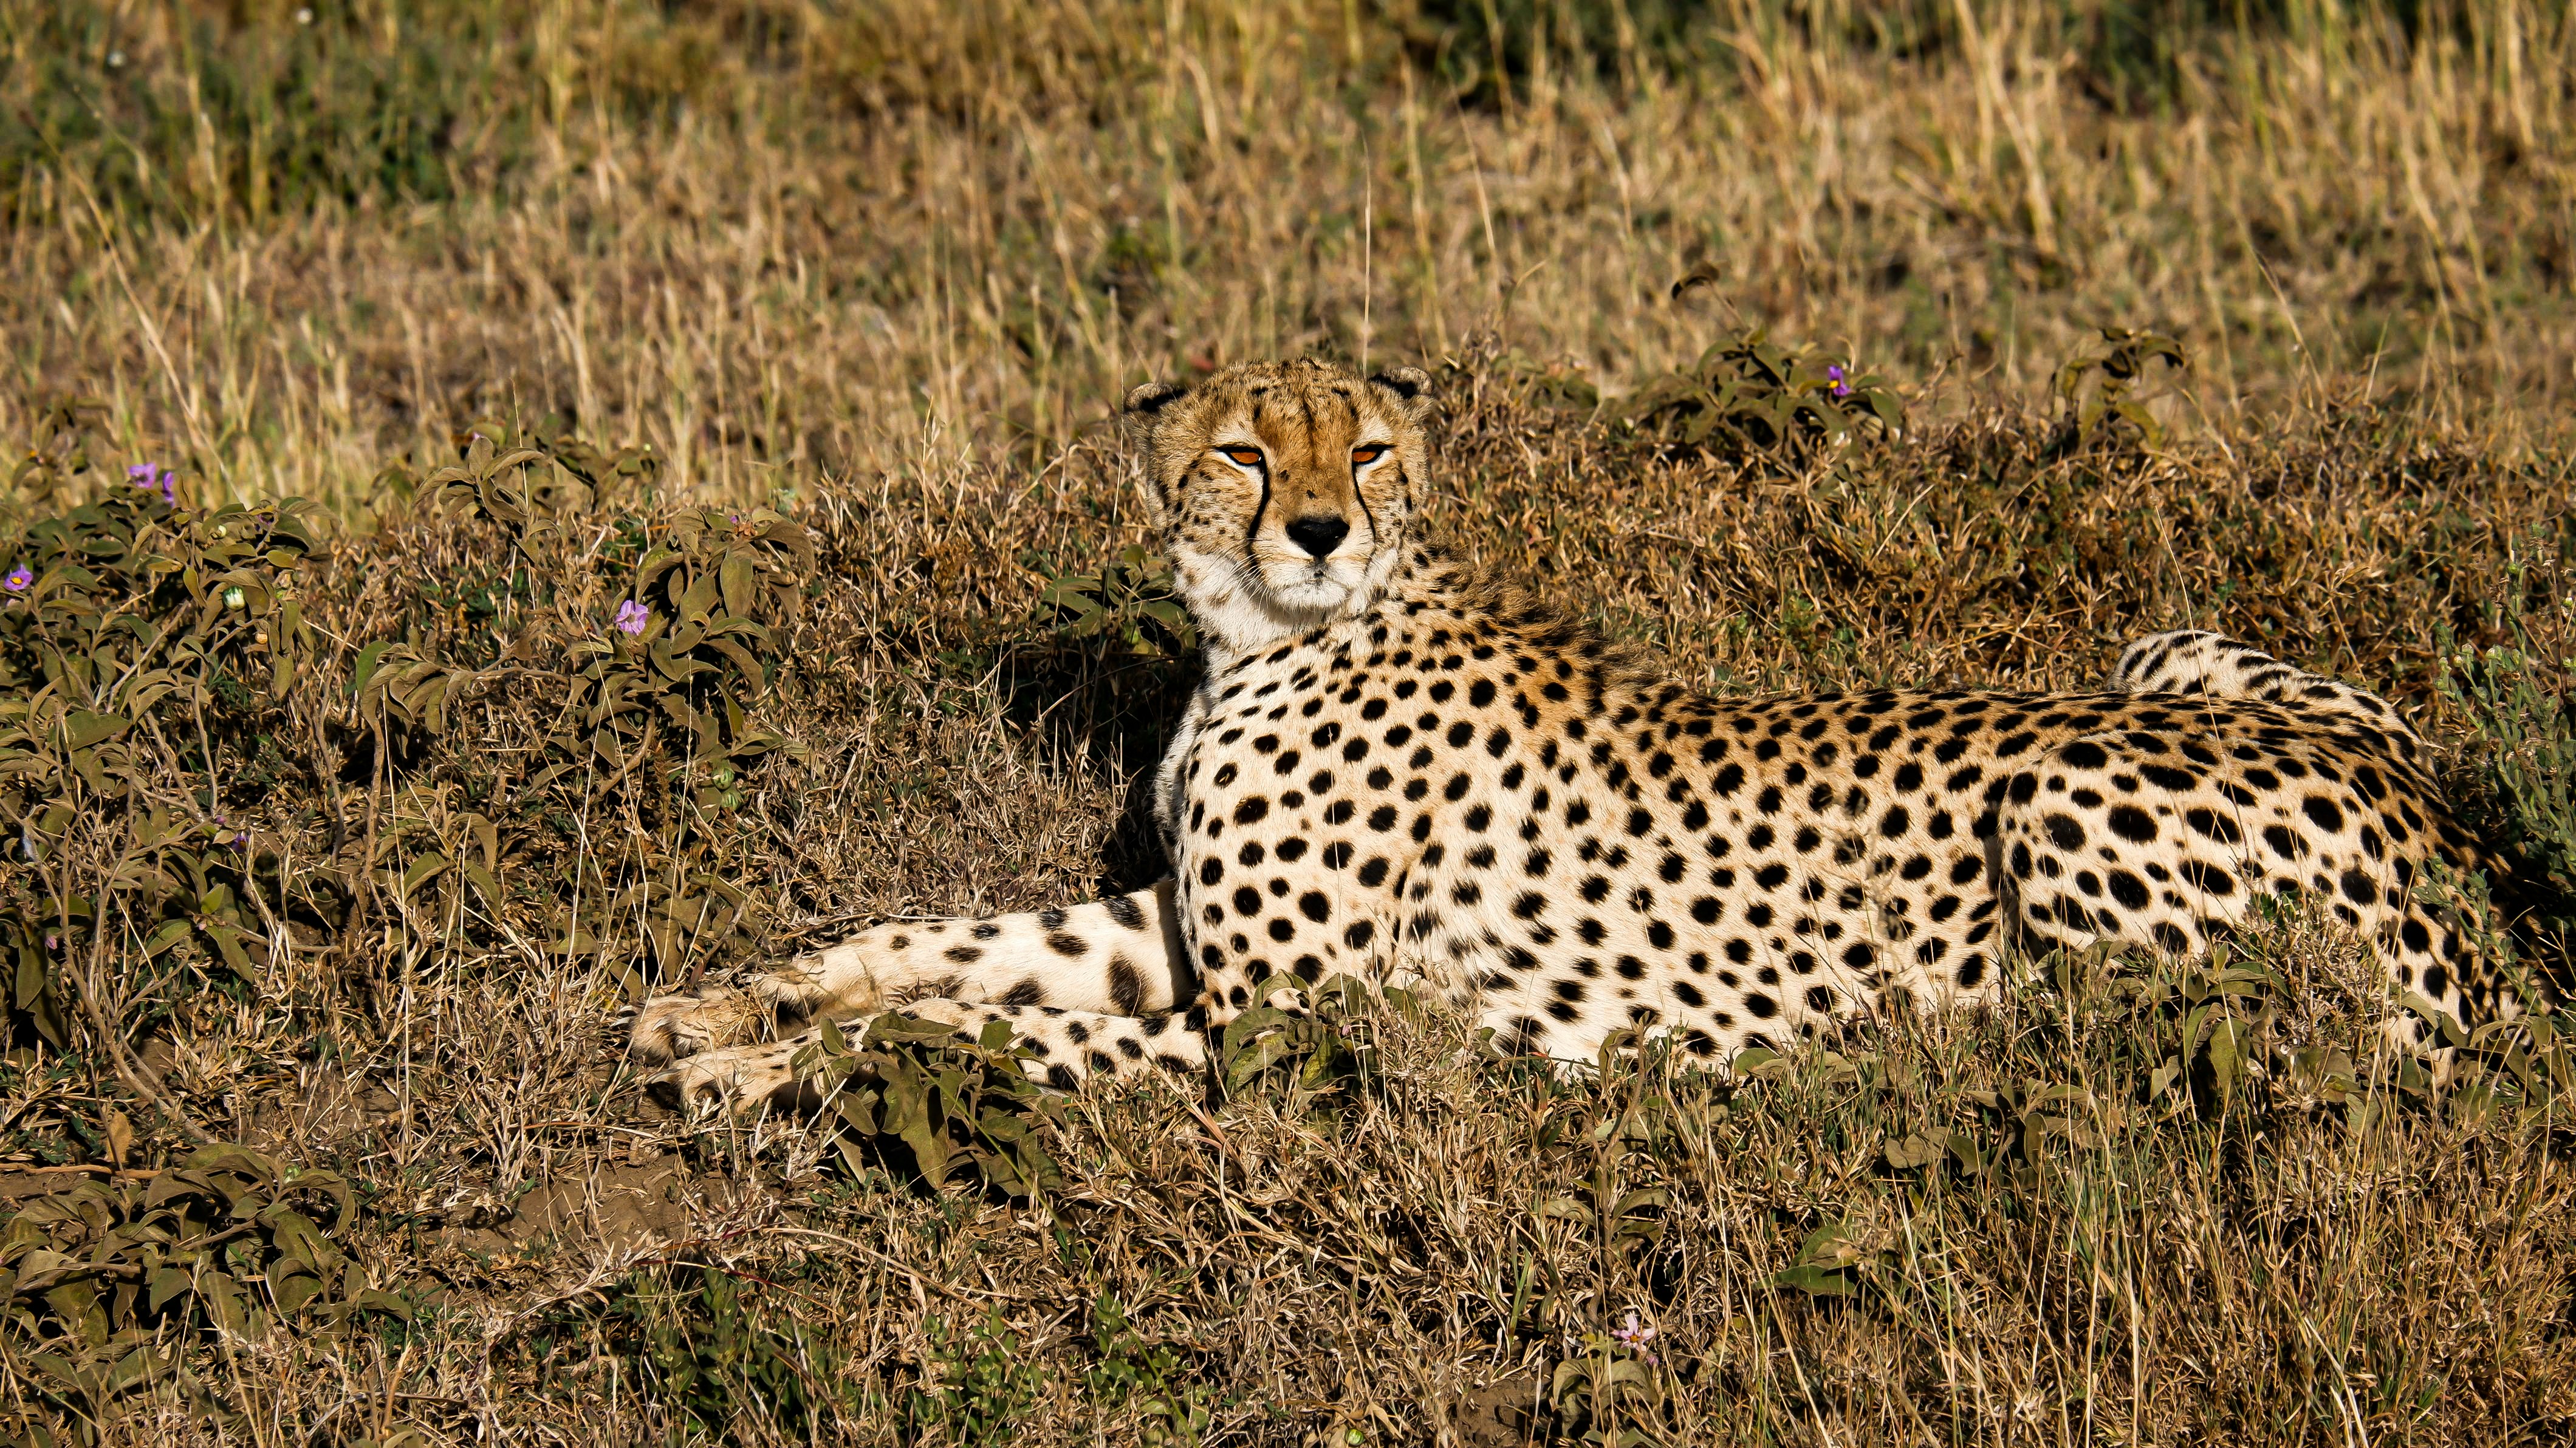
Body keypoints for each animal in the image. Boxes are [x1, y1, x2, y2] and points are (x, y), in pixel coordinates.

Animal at [628, 356, 2518, 1109]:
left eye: (1366, 450)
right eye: (1243, 451)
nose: (1316, 527)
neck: (1263, 642)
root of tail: (2448, 833)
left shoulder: (1300, 1033)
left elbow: (975, 1034)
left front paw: (757, 1073)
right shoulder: (1166, 936)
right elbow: (930, 942)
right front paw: (721, 1006)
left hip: (2061, 799)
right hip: (2170, 640)